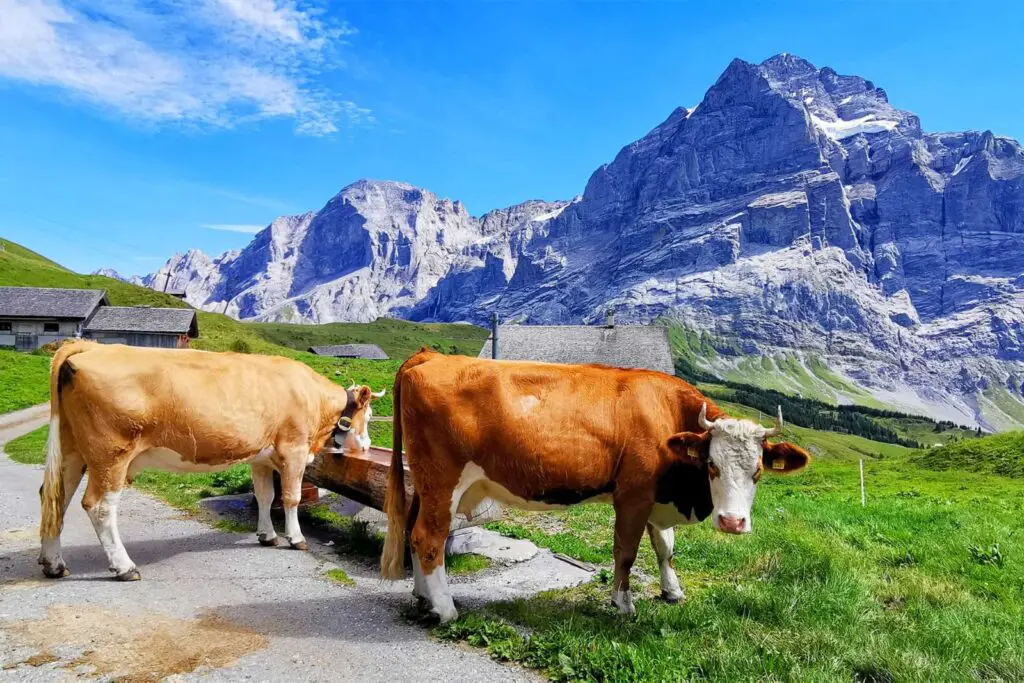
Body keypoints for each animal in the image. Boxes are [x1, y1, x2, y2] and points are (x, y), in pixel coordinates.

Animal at [38, 339, 385, 581]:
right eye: (367, 416)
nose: (367, 444)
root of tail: (90, 346)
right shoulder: (294, 449)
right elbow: (291, 497)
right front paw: (295, 538)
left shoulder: (261, 456)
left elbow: (265, 495)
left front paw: (267, 535)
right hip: (111, 456)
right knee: (98, 506)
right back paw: (124, 567)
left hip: (72, 451)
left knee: (55, 499)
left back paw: (54, 564)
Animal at [380, 350, 811, 622]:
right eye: (711, 465)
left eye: (758, 471)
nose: (732, 522)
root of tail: (430, 356)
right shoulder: (633, 494)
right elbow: (626, 553)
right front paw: (623, 604)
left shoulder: (655, 496)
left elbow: (665, 548)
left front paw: (672, 591)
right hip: (443, 479)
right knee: (428, 536)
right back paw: (445, 609)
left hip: (425, 482)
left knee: (415, 530)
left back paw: (423, 597)